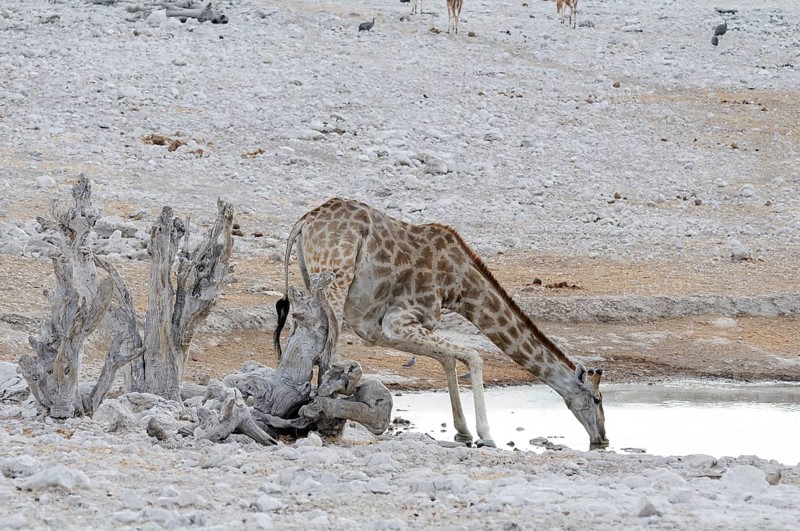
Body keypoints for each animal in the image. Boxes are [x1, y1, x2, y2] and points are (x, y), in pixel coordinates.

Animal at [274, 198, 607, 448]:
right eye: (596, 398)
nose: (602, 437)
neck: (459, 286)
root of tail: (304, 221)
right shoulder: (398, 321)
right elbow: (473, 355)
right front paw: (486, 434)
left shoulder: (380, 329)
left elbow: (448, 359)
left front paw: (463, 431)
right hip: (337, 280)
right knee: (329, 351)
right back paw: (325, 423)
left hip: (313, 280)